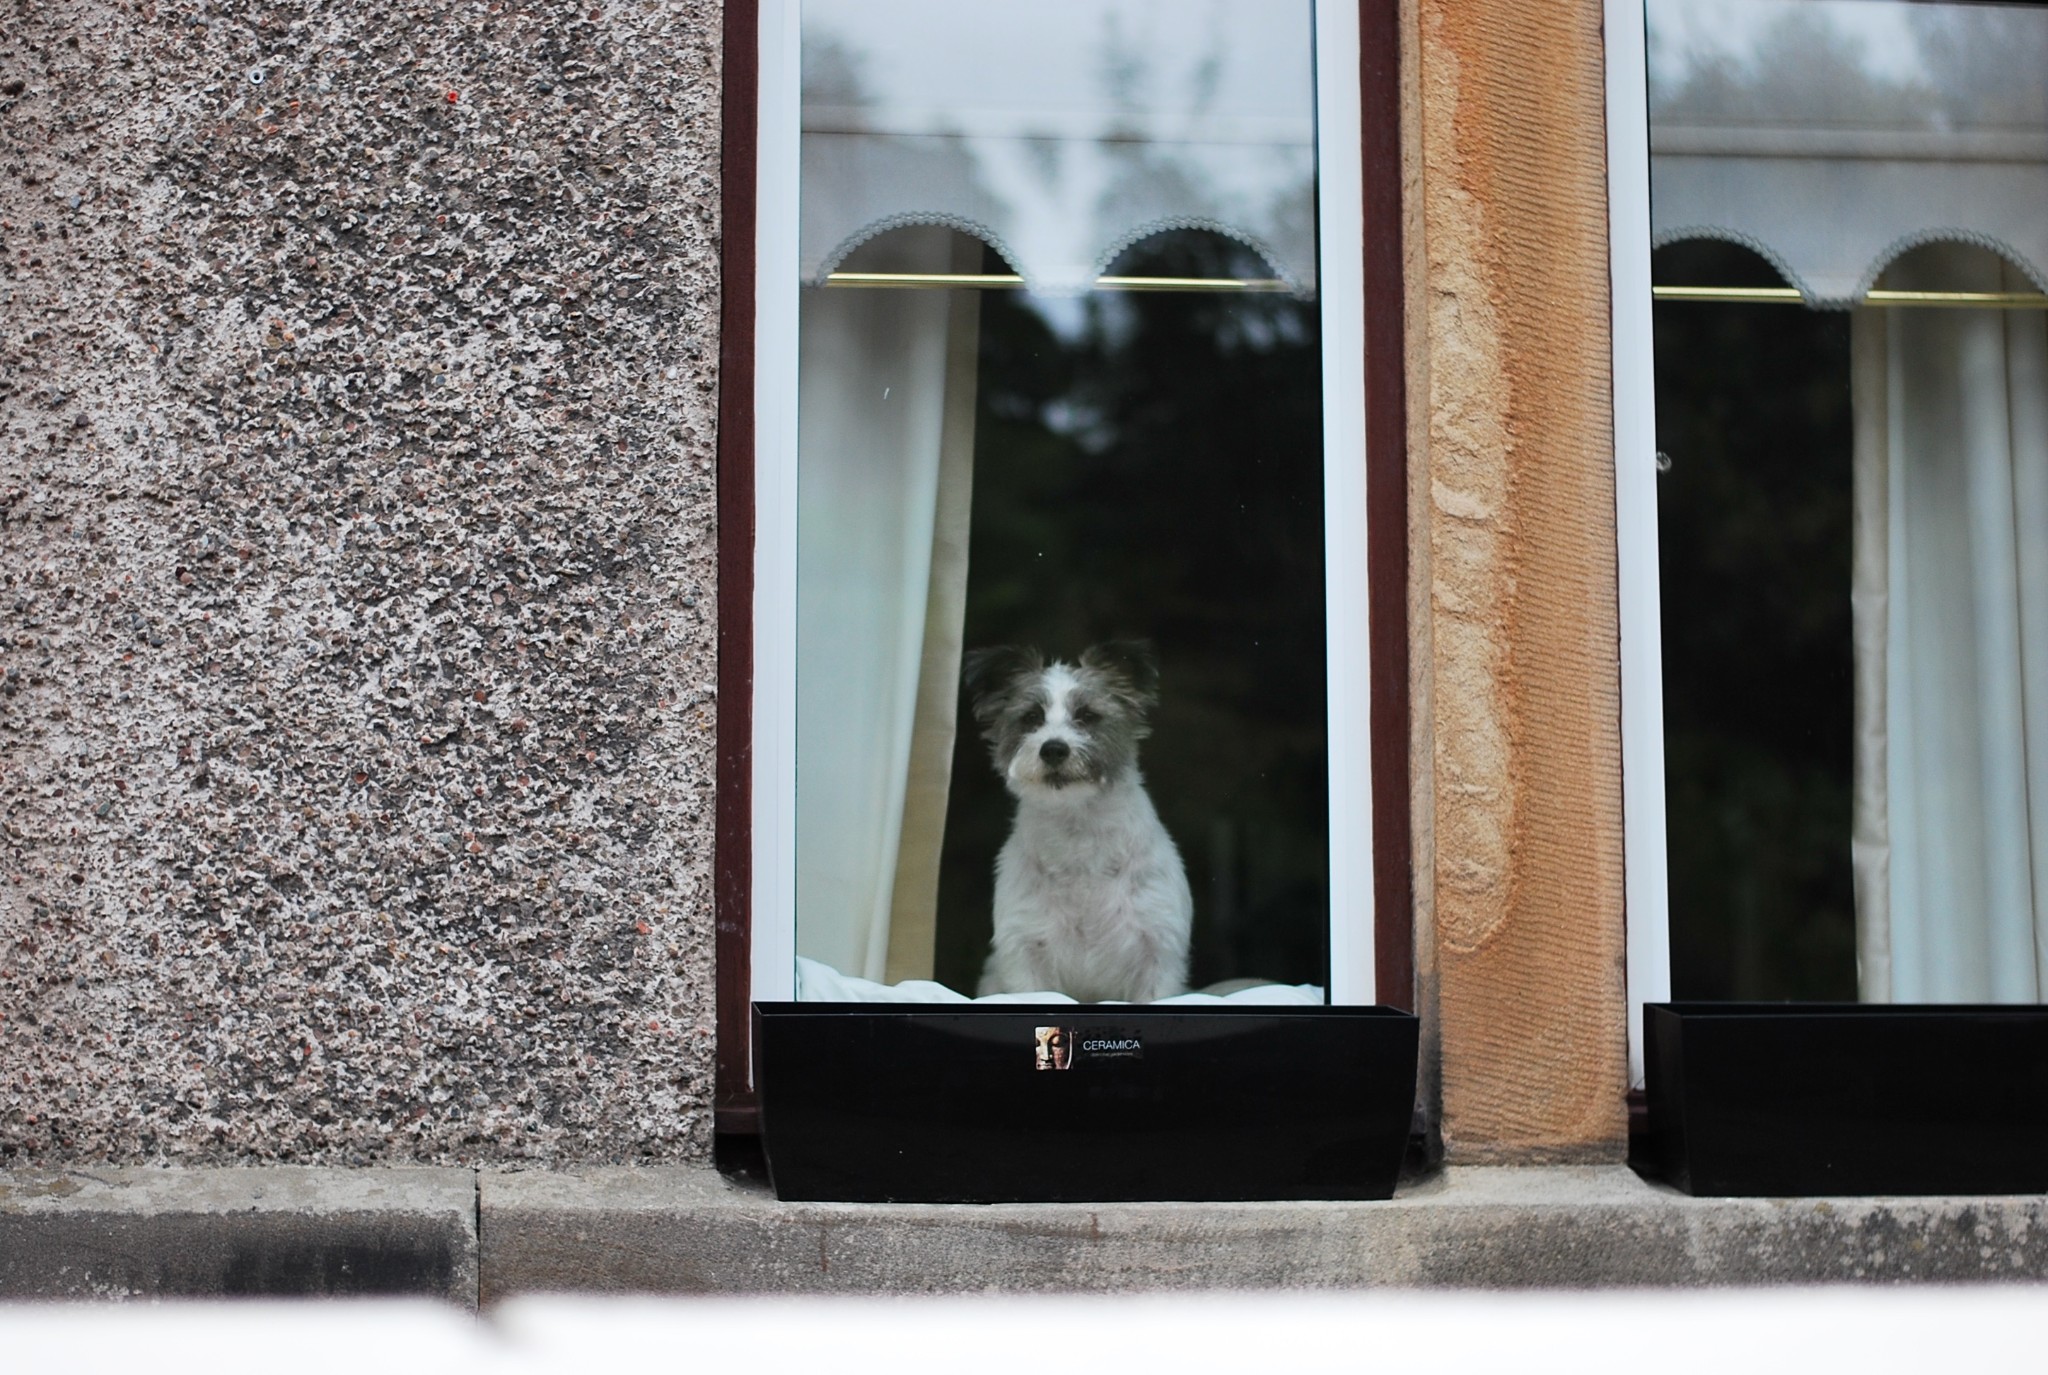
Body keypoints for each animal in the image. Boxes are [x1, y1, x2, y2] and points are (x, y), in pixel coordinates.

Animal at [962, 639, 1196, 1004]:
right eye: (1031, 717)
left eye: (1087, 715)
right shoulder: (1025, 953)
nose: (1053, 749)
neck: (1077, 834)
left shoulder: (1158, 951)